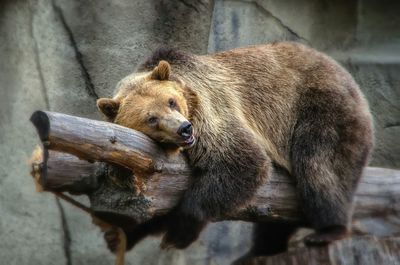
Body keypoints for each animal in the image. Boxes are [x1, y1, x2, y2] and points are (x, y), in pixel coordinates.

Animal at [97, 41, 376, 256]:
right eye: (151, 118)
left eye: (172, 101)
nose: (184, 129)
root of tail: (345, 73)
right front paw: (123, 235)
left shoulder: (209, 110)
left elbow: (242, 161)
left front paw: (177, 234)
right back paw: (261, 249)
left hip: (321, 109)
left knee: (320, 167)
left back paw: (327, 230)